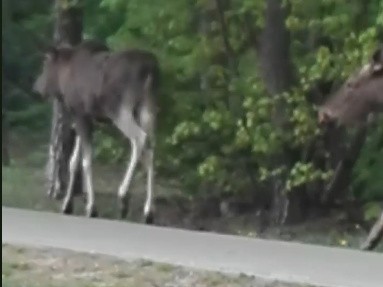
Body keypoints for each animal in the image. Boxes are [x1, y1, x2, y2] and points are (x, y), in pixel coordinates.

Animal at [33, 39, 159, 224]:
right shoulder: (85, 119)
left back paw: (123, 197)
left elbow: (86, 161)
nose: (36, 88)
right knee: (150, 148)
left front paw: (91, 207)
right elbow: (73, 161)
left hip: (119, 108)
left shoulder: (81, 115)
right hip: (146, 108)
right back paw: (148, 211)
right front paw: (67, 204)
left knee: (139, 139)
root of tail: (150, 68)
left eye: (45, 63)